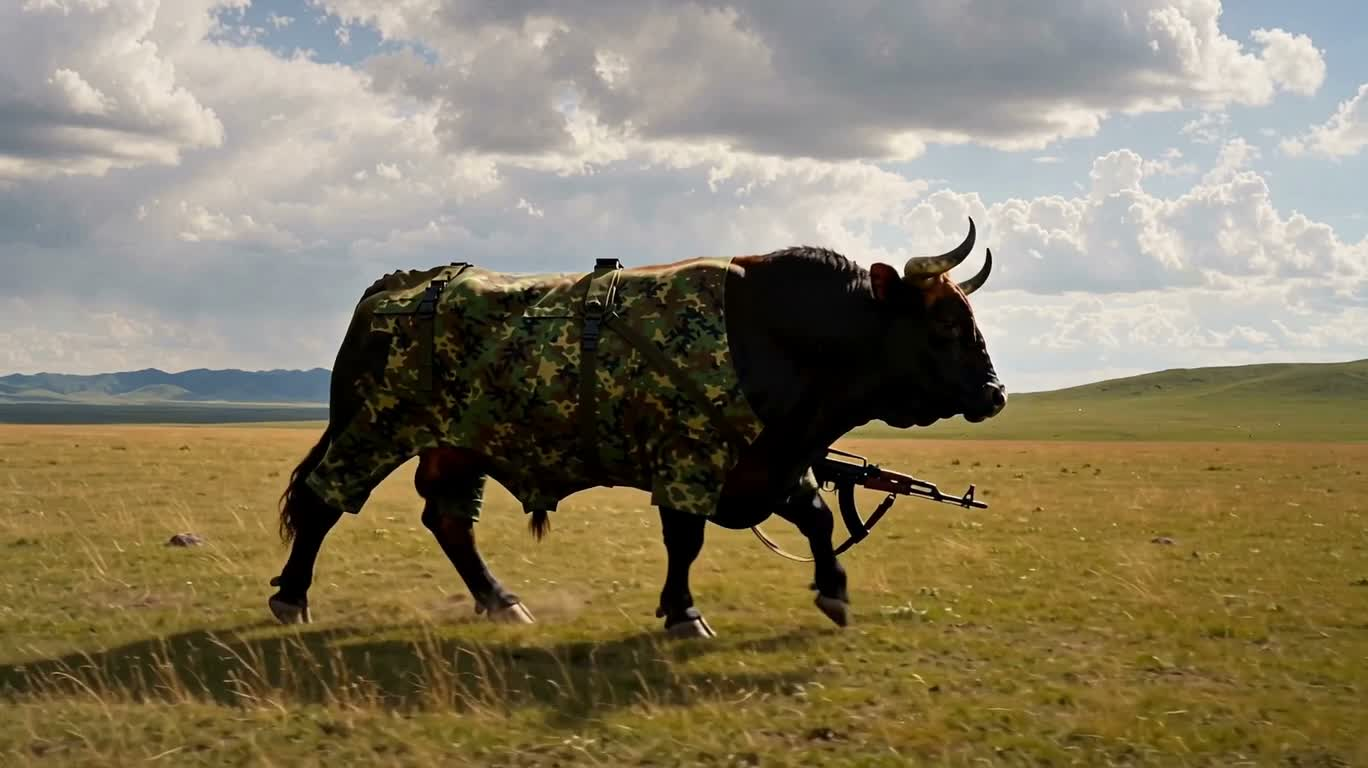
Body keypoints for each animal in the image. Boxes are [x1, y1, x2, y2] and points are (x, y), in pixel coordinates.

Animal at [267, 219, 1005, 638]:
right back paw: (292, 597)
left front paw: (834, 593)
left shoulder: (770, 460)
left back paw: (500, 600)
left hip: (456, 448)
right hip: (374, 428)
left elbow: (819, 518)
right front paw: (684, 613)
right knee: (325, 500)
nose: (996, 395)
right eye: (945, 323)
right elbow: (686, 542)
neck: (776, 330)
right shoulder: (687, 462)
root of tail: (393, 287)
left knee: (449, 521)